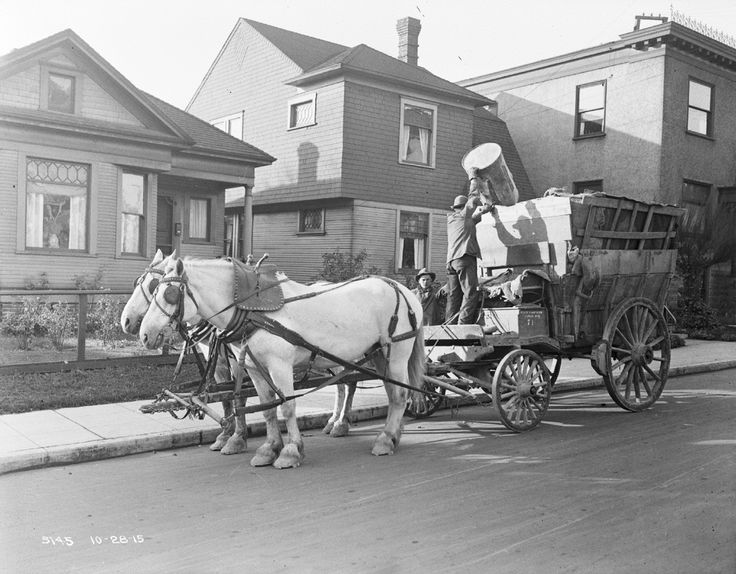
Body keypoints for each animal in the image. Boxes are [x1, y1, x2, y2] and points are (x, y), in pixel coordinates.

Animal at [121, 250, 247, 456]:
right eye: (138, 282)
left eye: (152, 286)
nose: (125, 321)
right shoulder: (216, 357)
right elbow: (226, 398)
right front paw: (225, 435)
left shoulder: (239, 359)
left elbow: (240, 397)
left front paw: (237, 438)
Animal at [138, 258, 426, 470]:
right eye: (155, 289)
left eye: (168, 293)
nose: (143, 334)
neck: (253, 310)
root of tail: (403, 290)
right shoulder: (254, 369)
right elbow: (267, 409)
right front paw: (269, 449)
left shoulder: (280, 365)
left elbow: (287, 407)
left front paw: (290, 451)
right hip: (377, 353)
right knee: (387, 391)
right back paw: (389, 433)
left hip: (396, 352)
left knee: (398, 395)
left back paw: (384, 439)